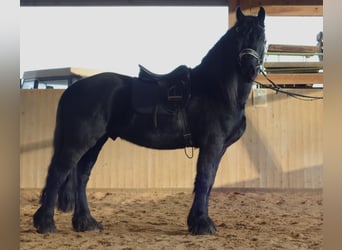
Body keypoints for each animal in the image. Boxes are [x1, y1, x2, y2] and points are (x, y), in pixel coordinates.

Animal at [33, 6, 266, 235]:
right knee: (58, 172)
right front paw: (202, 224)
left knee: (81, 175)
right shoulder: (212, 145)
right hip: (80, 140)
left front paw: (197, 221)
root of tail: (73, 89)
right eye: (238, 35)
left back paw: (86, 222)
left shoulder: (219, 148)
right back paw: (46, 224)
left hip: (96, 141)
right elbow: (204, 179)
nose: (249, 69)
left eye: (262, 37)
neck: (217, 90)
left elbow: (208, 182)